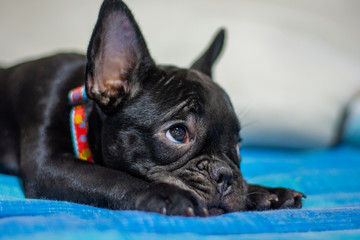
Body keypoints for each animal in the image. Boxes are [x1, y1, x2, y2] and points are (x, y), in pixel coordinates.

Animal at [0, 0, 304, 217]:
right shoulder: (49, 165)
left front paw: (264, 192)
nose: (225, 175)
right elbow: (107, 176)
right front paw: (165, 194)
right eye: (178, 133)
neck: (84, 109)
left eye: (239, 147)